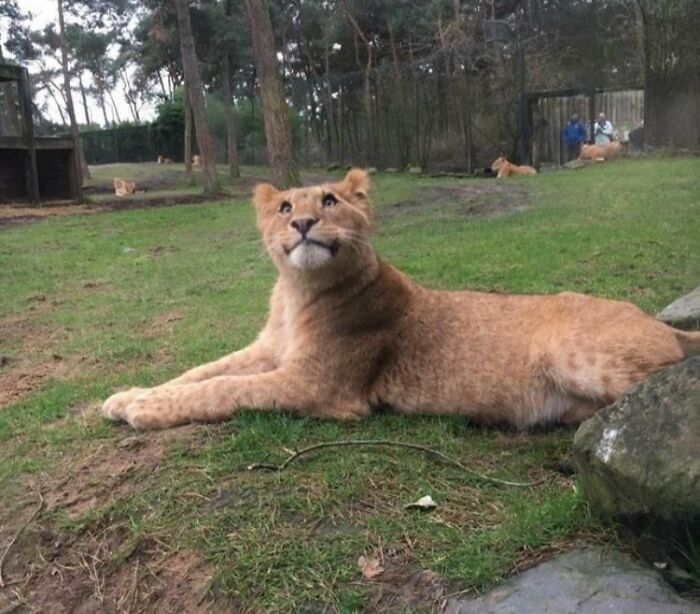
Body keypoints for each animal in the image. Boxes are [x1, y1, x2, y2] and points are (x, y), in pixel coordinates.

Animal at [102, 169, 700, 430]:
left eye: (330, 200)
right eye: (283, 207)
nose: (302, 223)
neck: (296, 292)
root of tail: (657, 322)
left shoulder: (318, 386)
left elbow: (226, 389)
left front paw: (143, 409)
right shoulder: (268, 350)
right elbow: (202, 370)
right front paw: (126, 396)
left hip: (575, 353)